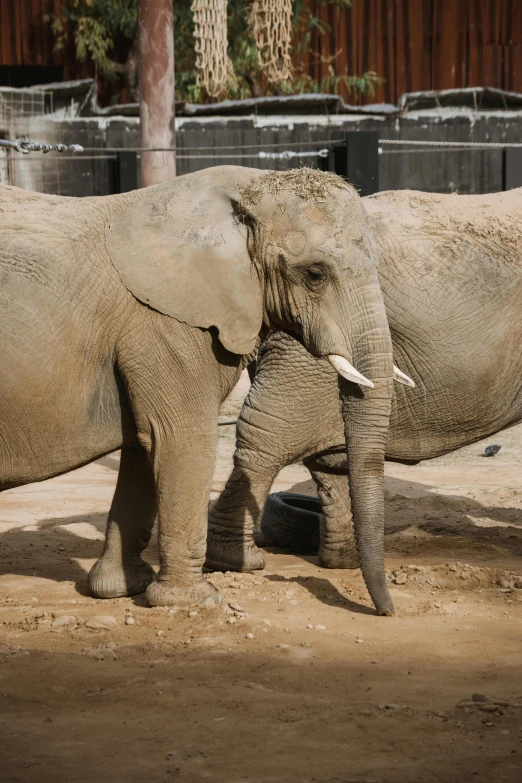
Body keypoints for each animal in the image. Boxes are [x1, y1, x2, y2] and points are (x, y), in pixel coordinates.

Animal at [1, 165, 398, 612]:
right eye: (315, 274)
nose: (385, 612)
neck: (245, 190)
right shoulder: (167, 324)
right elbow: (180, 439)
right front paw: (195, 602)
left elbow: (144, 445)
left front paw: (120, 589)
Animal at [205, 187, 520, 616]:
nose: (391, 614)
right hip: (311, 338)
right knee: (270, 434)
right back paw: (234, 561)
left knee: (327, 456)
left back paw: (344, 561)